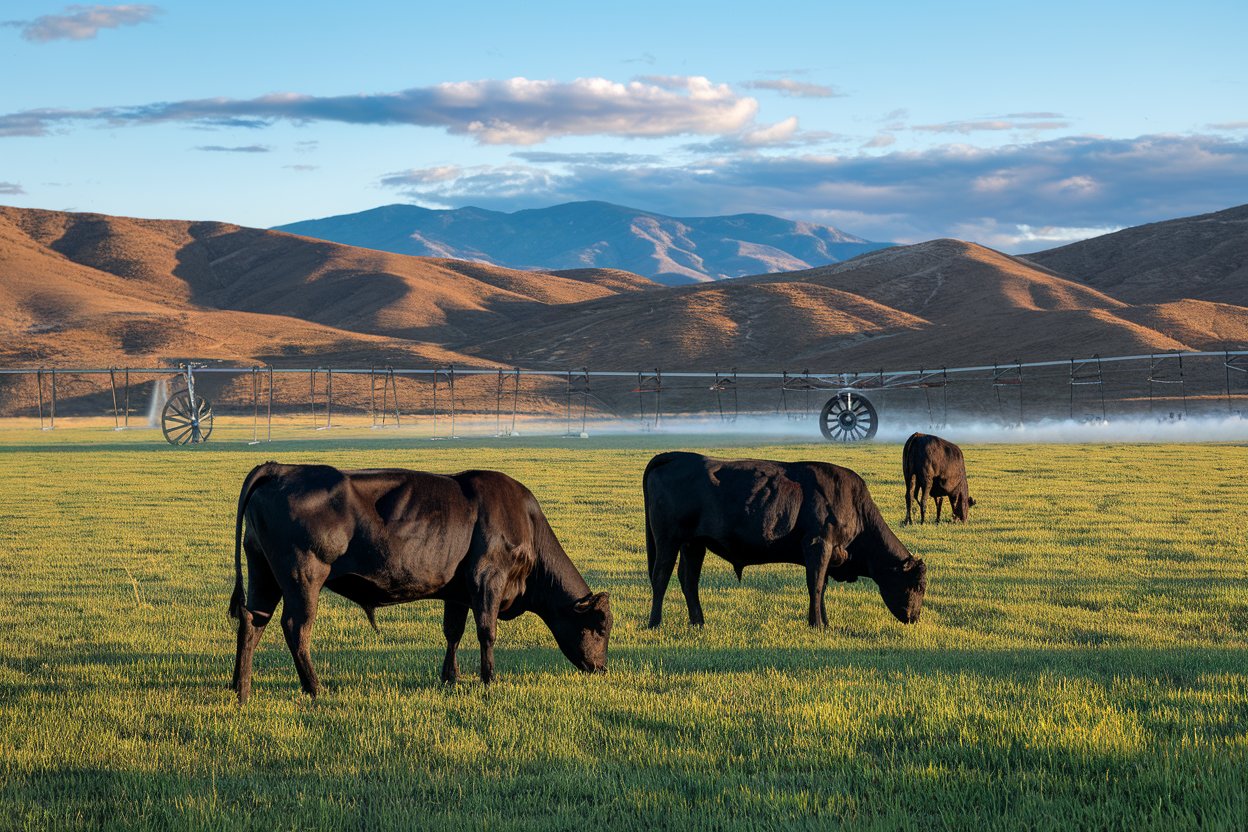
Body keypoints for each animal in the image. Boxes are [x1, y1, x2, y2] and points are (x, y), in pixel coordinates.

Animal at [228, 462, 612, 702]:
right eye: (601, 627)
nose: (602, 668)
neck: (525, 522)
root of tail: (280, 468)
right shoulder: (487, 577)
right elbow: (486, 631)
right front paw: (489, 680)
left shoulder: (459, 591)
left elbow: (453, 631)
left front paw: (450, 678)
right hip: (303, 576)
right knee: (295, 627)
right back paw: (315, 689)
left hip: (263, 573)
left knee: (252, 622)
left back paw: (240, 689)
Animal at [643, 452, 927, 629]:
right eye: (919, 586)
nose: (915, 617)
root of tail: (677, 455)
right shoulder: (818, 545)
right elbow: (816, 586)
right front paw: (817, 624)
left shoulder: (825, 553)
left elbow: (822, 586)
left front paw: (825, 622)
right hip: (668, 539)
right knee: (661, 576)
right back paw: (655, 623)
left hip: (693, 543)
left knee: (688, 579)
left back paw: (698, 622)